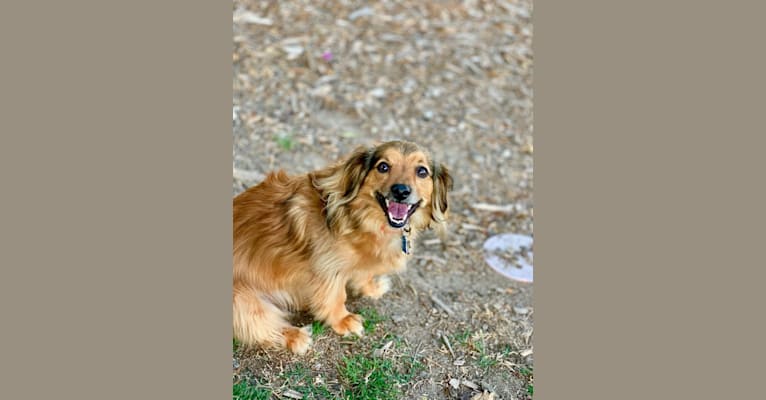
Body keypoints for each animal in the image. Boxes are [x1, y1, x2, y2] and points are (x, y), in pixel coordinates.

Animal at [231, 140, 452, 354]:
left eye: (422, 171)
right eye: (383, 166)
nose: (401, 191)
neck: (361, 218)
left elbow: (365, 274)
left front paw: (372, 288)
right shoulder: (329, 271)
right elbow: (336, 298)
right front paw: (344, 320)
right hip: (243, 302)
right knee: (261, 326)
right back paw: (295, 336)